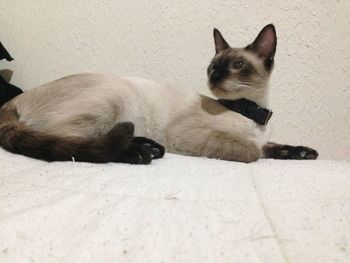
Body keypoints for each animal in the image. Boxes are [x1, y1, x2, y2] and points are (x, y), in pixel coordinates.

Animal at [0, 24, 318, 165]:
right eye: (213, 67)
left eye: (238, 66)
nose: (215, 77)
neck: (253, 113)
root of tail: (12, 100)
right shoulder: (189, 135)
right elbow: (254, 153)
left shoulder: (265, 138)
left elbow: (273, 147)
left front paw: (304, 153)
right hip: (115, 96)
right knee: (73, 144)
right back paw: (140, 151)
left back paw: (147, 146)